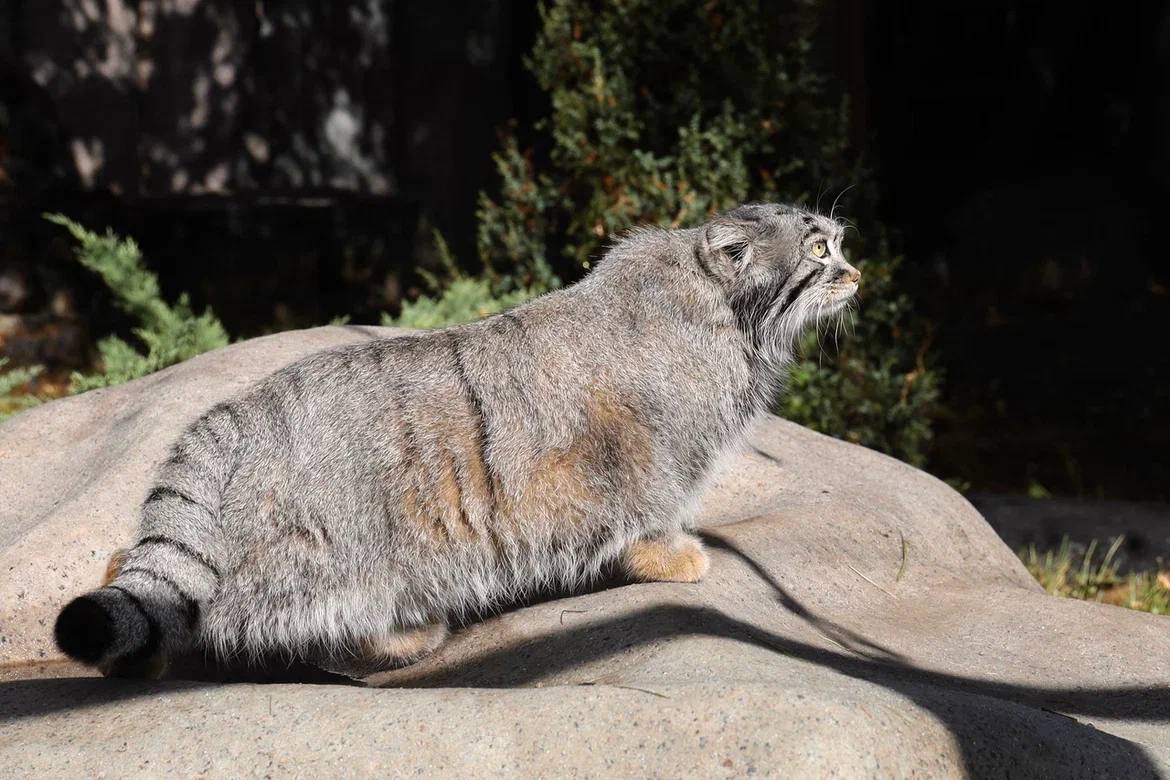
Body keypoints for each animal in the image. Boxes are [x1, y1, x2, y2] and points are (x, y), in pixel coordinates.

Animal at [54, 203, 861, 678]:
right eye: (820, 249)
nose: (858, 272)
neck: (720, 310)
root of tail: (232, 413)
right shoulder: (653, 453)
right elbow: (648, 513)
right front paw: (673, 555)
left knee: (145, 572)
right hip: (347, 554)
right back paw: (401, 638)